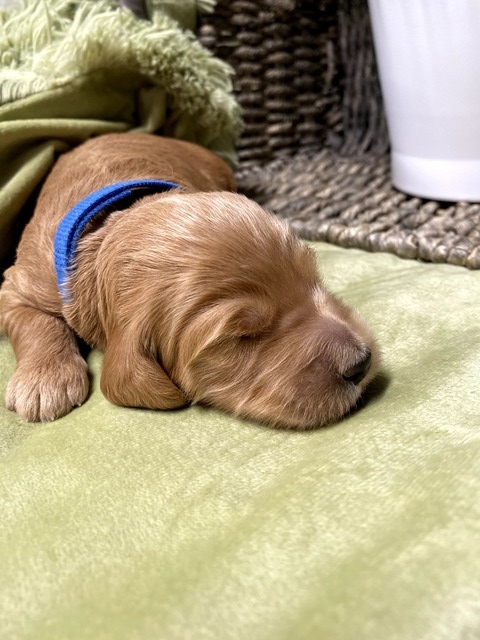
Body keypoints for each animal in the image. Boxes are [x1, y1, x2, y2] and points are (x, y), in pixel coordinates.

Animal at [1, 132, 380, 428]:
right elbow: (35, 321)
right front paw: (44, 380)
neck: (111, 224)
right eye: (242, 337)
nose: (361, 362)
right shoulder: (20, 285)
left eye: (313, 279)